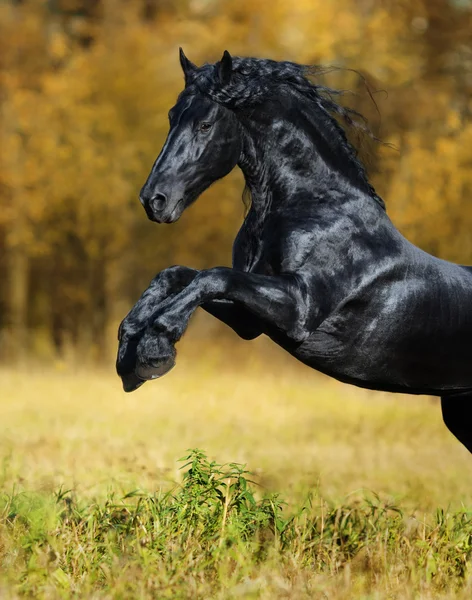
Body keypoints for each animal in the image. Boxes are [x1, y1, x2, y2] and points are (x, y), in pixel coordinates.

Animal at [116, 51, 472, 454]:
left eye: (205, 124)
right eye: (172, 116)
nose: (154, 200)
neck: (313, 206)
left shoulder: (299, 307)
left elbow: (214, 276)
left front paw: (156, 347)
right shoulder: (249, 319)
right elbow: (179, 274)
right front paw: (129, 348)